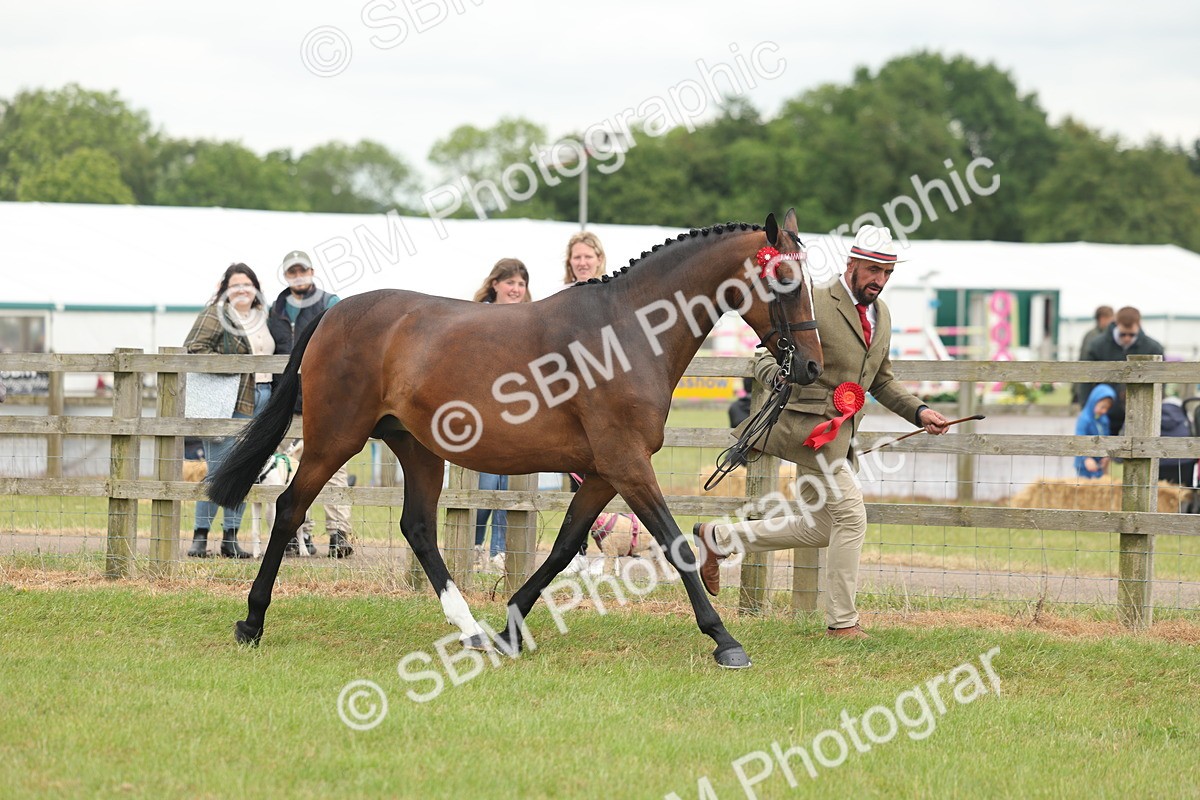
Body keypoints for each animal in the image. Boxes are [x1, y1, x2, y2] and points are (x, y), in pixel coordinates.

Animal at [207, 209, 822, 669]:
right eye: (785, 280)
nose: (812, 366)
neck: (627, 332)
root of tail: (335, 314)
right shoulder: (627, 465)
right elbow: (675, 545)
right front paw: (725, 641)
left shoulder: (602, 472)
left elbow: (564, 547)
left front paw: (509, 629)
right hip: (336, 438)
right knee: (290, 508)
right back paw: (252, 621)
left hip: (417, 448)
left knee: (418, 528)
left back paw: (472, 631)